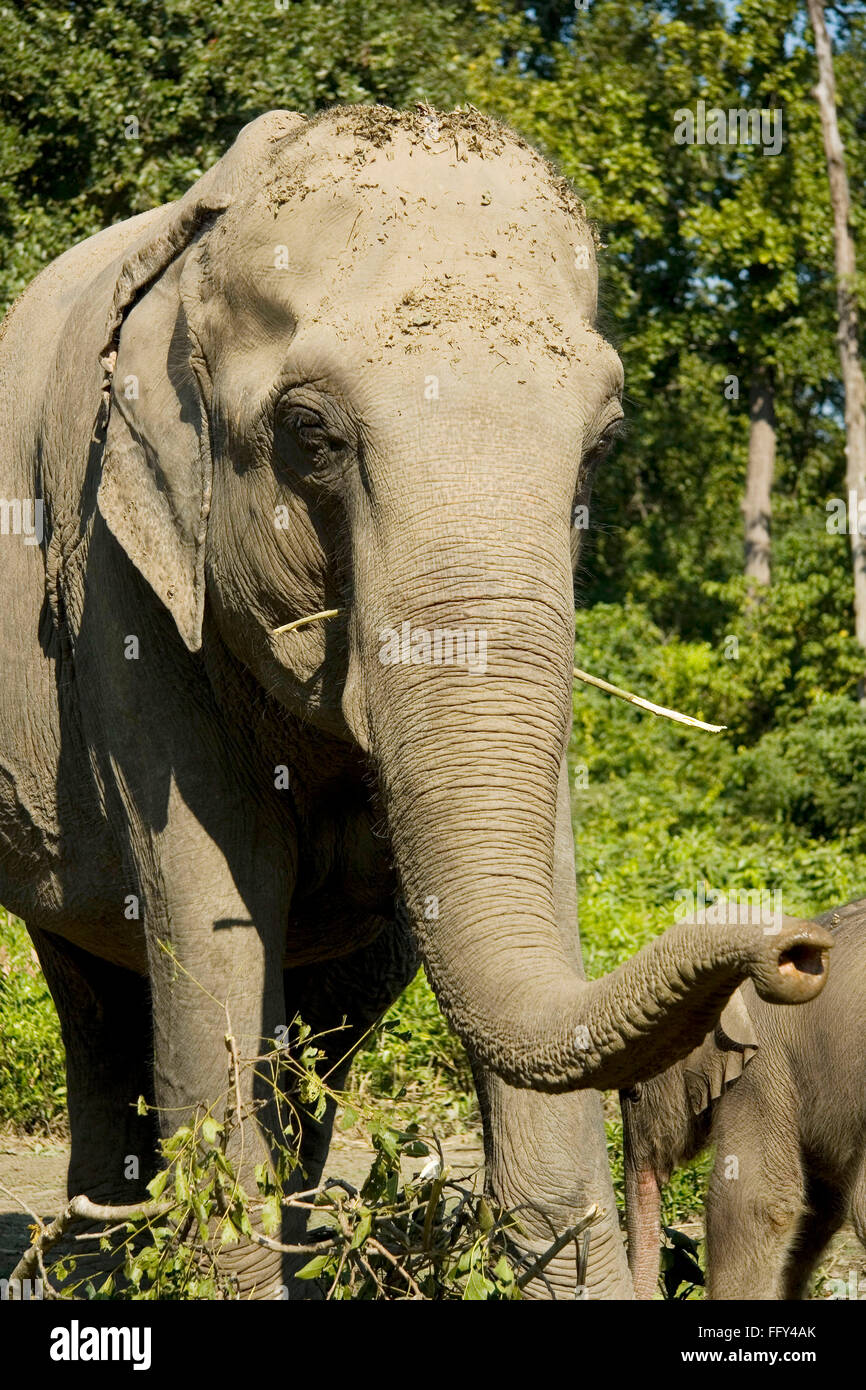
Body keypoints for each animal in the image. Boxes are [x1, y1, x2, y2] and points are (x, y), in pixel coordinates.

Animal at [0, 102, 834, 1295]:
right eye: (310, 433)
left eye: (605, 445)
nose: (795, 949)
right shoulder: (122, 568)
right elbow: (213, 892)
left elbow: (541, 877)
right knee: (97, 987)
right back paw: (91, 1262)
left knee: (328, 1007)